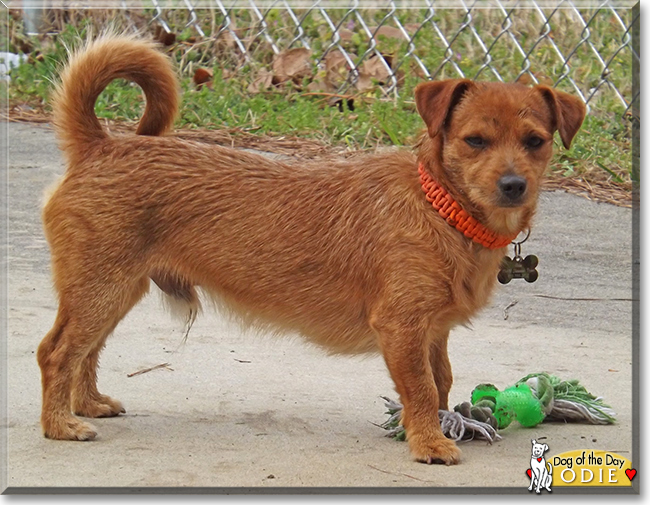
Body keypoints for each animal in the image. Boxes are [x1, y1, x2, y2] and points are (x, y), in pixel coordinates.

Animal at [35, 33, 584, 464]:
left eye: (535, 141)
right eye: (474, 141)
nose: (513, 185)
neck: (441, 207)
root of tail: (101, 145)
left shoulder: (432, 331)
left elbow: (441, 380)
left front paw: (436, 426)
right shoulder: (402, 327)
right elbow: (422, 388)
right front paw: (430, 442)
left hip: (113, 291)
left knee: (86, 350)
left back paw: (87, 404)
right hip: (101, 288)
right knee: (56, 352)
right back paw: (60, 426)